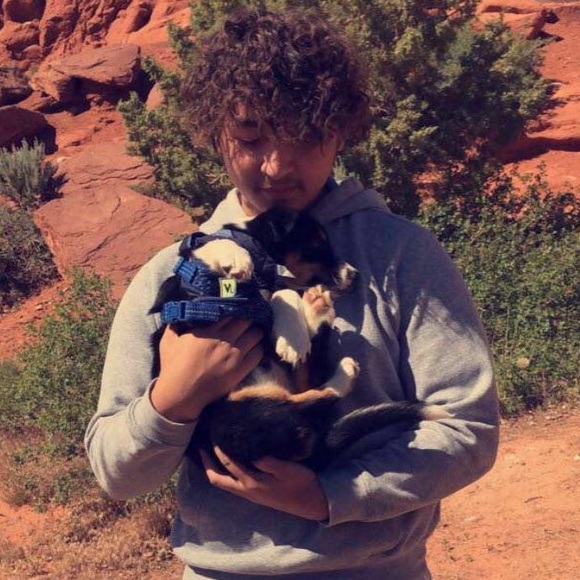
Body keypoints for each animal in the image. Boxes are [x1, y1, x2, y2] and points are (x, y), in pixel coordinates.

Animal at [151, 208, 449, 471]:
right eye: (317, 243)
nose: (355, 275)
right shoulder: (197, 306)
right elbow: (273, 284)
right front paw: (233, 256)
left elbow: (283, 290)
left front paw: (292, 333)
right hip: (243, 414)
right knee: (313, 399)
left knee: (312, 390)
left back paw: (319, 314)